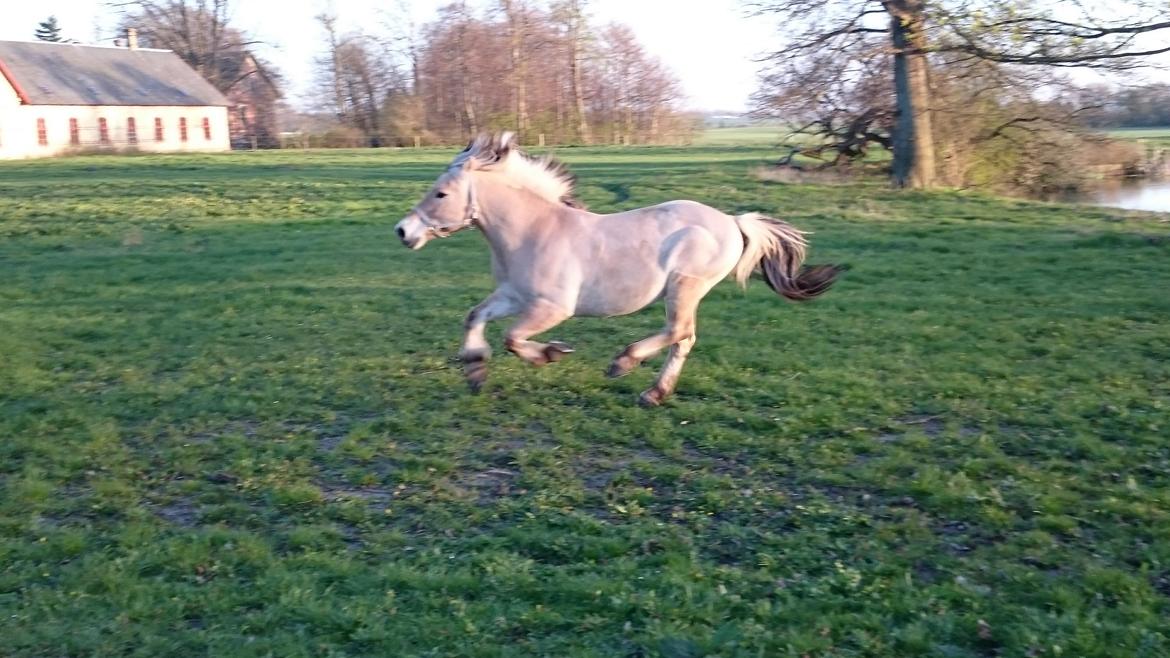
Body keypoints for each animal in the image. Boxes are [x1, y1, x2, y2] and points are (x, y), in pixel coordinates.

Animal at [395, 132, 842, 405]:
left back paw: (623, 364)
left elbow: (512, 338)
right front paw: (474, 370)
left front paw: (551, 354)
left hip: (685, 286)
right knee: (684, 339)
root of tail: (733, 222)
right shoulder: (513, 296)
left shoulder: (551, 308)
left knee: (679, 332)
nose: (403, 231)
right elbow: (475, 317)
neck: (533, 231)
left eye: (441, 193)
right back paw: (654, 394)